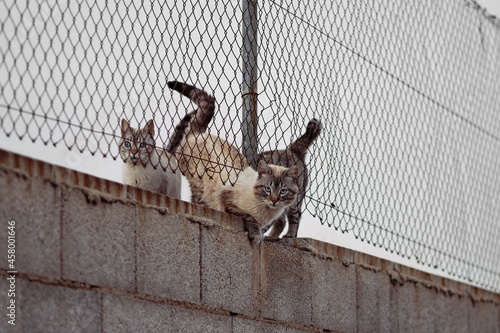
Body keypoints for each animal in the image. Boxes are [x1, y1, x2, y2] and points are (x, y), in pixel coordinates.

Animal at [168, 80, 300, 241]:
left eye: (283, 191)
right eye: (267, 189)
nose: (274, 200)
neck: (266, 211)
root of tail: (199, 133)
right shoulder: (227, 199)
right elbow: (249, 217)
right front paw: (257, 236)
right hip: (199, 185)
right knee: (197, 200)